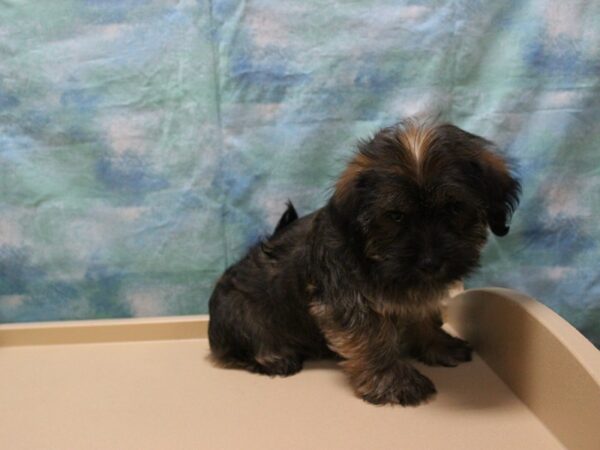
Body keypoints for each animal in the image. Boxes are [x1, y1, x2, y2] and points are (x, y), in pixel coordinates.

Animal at [209, 118, 516, 404]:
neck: (374, 256)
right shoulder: (347, 303)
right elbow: (372, 339)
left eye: (454, 208)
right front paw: (393, 380)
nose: (430, 262)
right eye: (395, 216)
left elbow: (422, 315)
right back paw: (274, 357)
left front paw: (437, 344)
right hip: (238, 313)